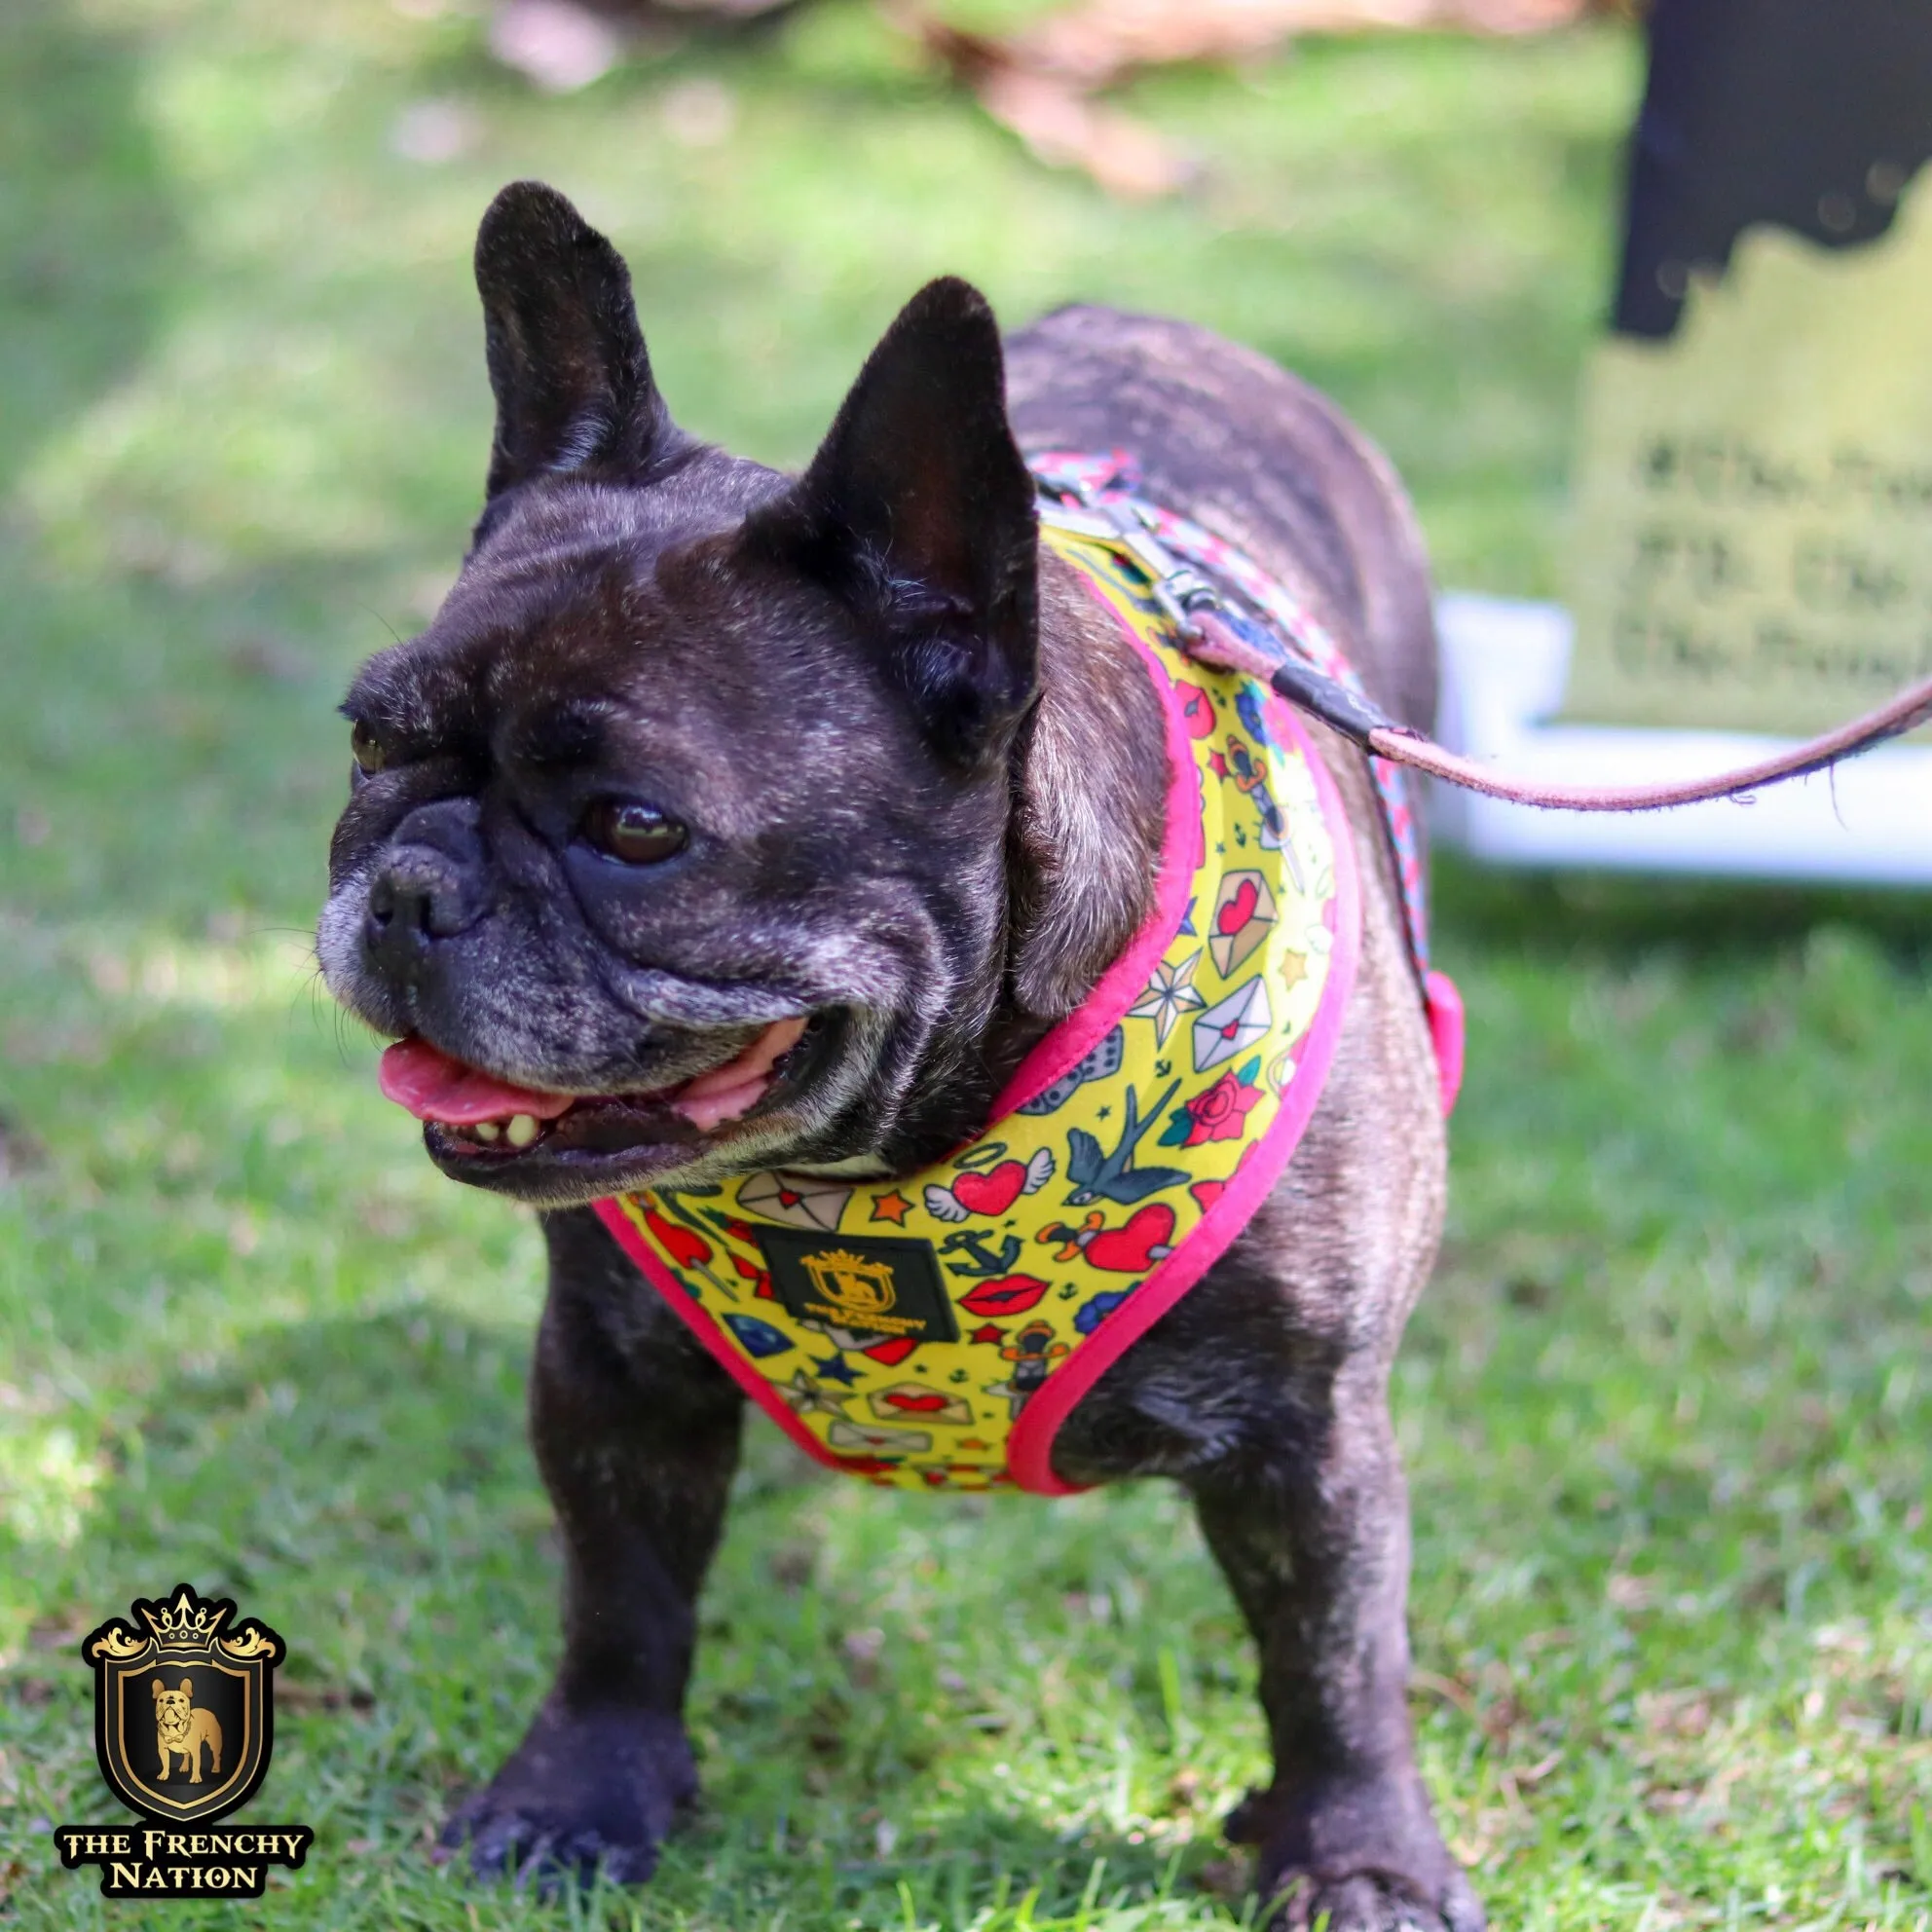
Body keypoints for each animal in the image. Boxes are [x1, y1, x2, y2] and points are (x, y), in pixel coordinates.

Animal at [316, 184, 1468, 1932]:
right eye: (371, 743)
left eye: (635, 828)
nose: (409, 886)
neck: (898, 1163)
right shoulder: (610, 1371)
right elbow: (619, 1598)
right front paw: (580, 1795)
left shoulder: (1311, 1433)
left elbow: (1333, 1655)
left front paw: (1360, 1854)